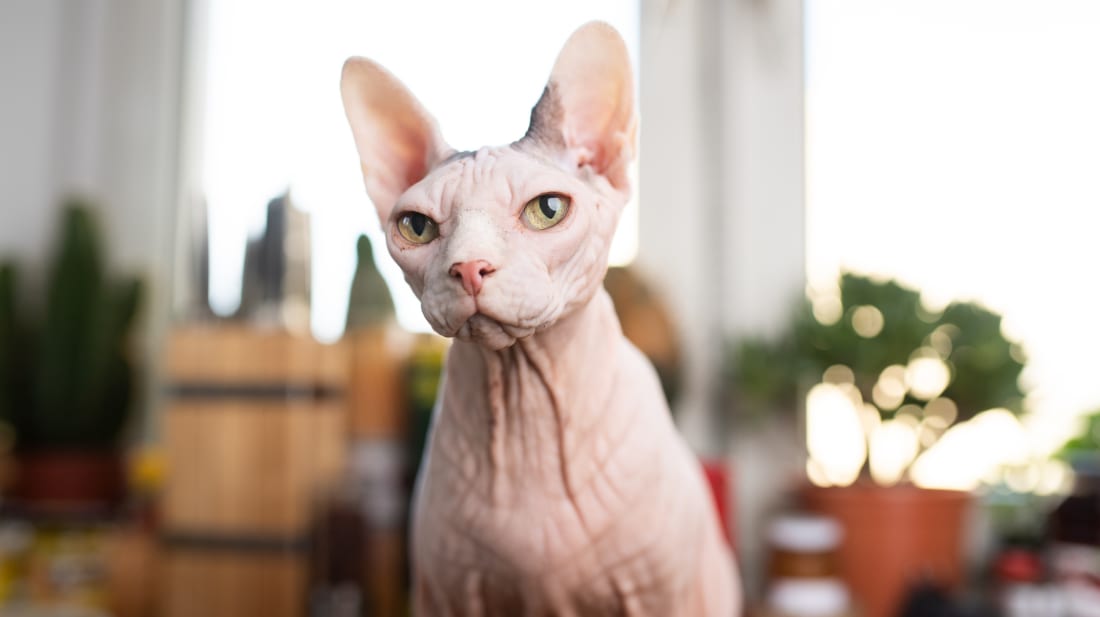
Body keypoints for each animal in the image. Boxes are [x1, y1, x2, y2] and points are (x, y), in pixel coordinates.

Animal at [341, 20, 739, 615]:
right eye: (416, 226)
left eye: (548, 210)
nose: (468, 267)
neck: (522, 399)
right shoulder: (445, 593)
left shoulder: (662, 595)